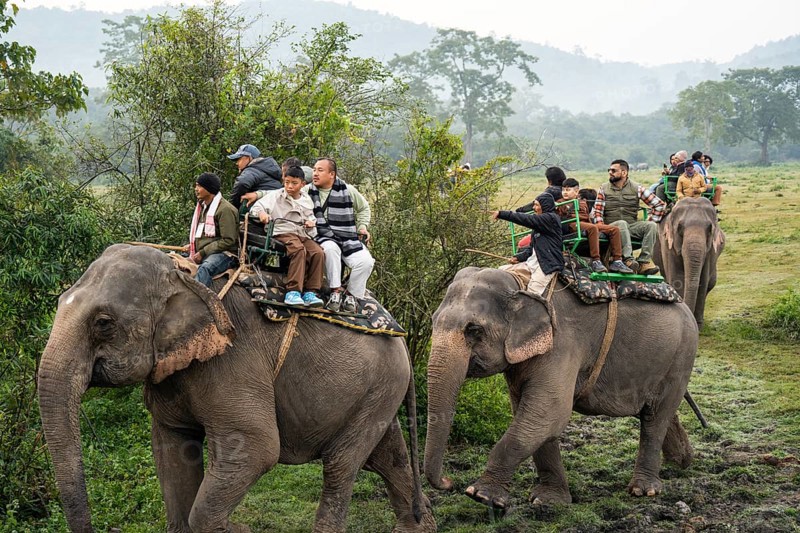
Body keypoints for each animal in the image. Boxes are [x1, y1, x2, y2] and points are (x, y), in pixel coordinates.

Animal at [37, 244, 435, 533]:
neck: (182, 276)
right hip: (379, 390)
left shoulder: (232, 358)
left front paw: (234, 528)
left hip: (381, 386)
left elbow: (256, 447)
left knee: (341, 465)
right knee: (387, 456)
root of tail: (399, 332)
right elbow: (172, 450)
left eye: (103, 323)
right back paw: (418, 527)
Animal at [424, 267, 698, 510]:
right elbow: (534, 417)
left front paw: (481, 495)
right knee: (660, 414)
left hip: (681, 357)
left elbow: (548, 412)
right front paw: (548, 500)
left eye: (474, 330)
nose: (448, 482)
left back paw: (644, 490)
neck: (521, 282)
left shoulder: (562, 341)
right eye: (433, 322)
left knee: (655, 418)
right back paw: (683, 462)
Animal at [655, 197, 725, 328]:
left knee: (711, 283)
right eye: (679, 227)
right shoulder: (668, 245)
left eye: (709, 229)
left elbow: (703, 281)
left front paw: (698, 325)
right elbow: (677, 278)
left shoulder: (710, 252)